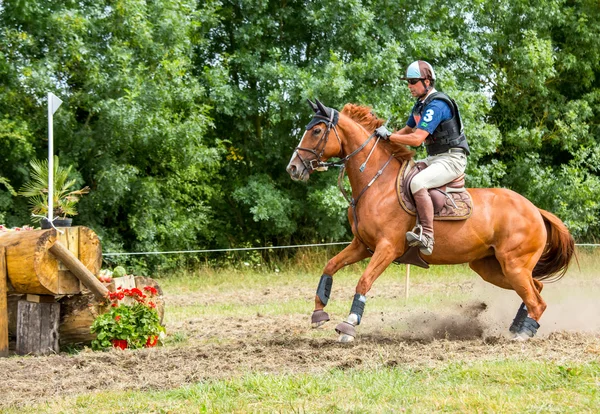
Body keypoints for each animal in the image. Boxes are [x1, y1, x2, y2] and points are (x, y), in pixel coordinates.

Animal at [286, 99, 576, 342]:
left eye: (316, 131)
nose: (293, 168)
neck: (375, 183)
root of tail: (536, 210)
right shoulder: (362, 246)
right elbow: (330, 266)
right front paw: (318, 314)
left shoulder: (387, 248)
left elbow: (364, 281)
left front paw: (349, 325)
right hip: (492, 267)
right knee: (536, 288)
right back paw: (518, 326)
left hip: (513, 265)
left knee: (537, 300)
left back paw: (522, 335)